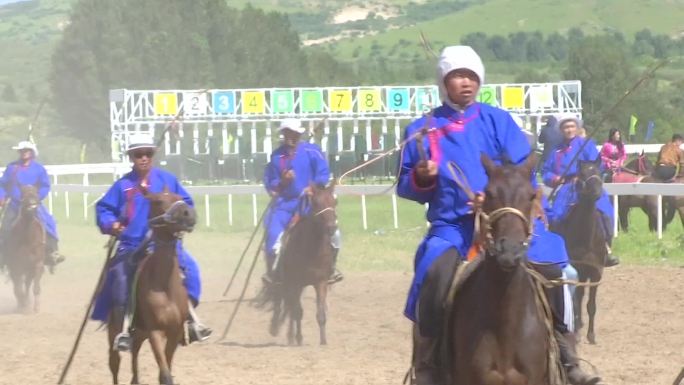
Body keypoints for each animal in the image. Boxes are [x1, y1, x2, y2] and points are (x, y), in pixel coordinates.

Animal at [5, 184, 45, 314]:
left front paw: (36, 307)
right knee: (18, 286)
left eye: (36, 194)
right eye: (24, 194)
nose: (32, 207)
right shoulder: (16, 266)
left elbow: (35, 287)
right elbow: (18, 288)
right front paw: (23, 306)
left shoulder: (38, 265)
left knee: (26, 284)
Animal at [107, 184, 196, 382]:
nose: (187, 214)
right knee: (114, 364)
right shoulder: (155, 332)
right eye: (157, 201)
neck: (165, 286)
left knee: (134, 357)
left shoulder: (174, 332)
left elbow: (166, 370)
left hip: (140, 334)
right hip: (115, 332)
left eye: (180, 197)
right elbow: (165, 375)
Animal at [260, 183, 336, 344]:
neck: (312, 250)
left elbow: (320, 313)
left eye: (335, 202)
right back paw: (277, 329)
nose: (332, 228)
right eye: (316, 203)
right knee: (281, 302)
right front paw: (299, 338)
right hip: (283, 283)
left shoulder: (321, 282)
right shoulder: (295, 283)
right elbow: (298, 312)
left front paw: (323, 341)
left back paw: (290, 335)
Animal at [552, 158, 608, 344]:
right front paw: (576, 333)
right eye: (582, 174)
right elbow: (576, 301)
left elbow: (591, 304)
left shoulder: (596, 272)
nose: (596, 192)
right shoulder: (576, 269)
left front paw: (591, 335)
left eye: (599, 172)